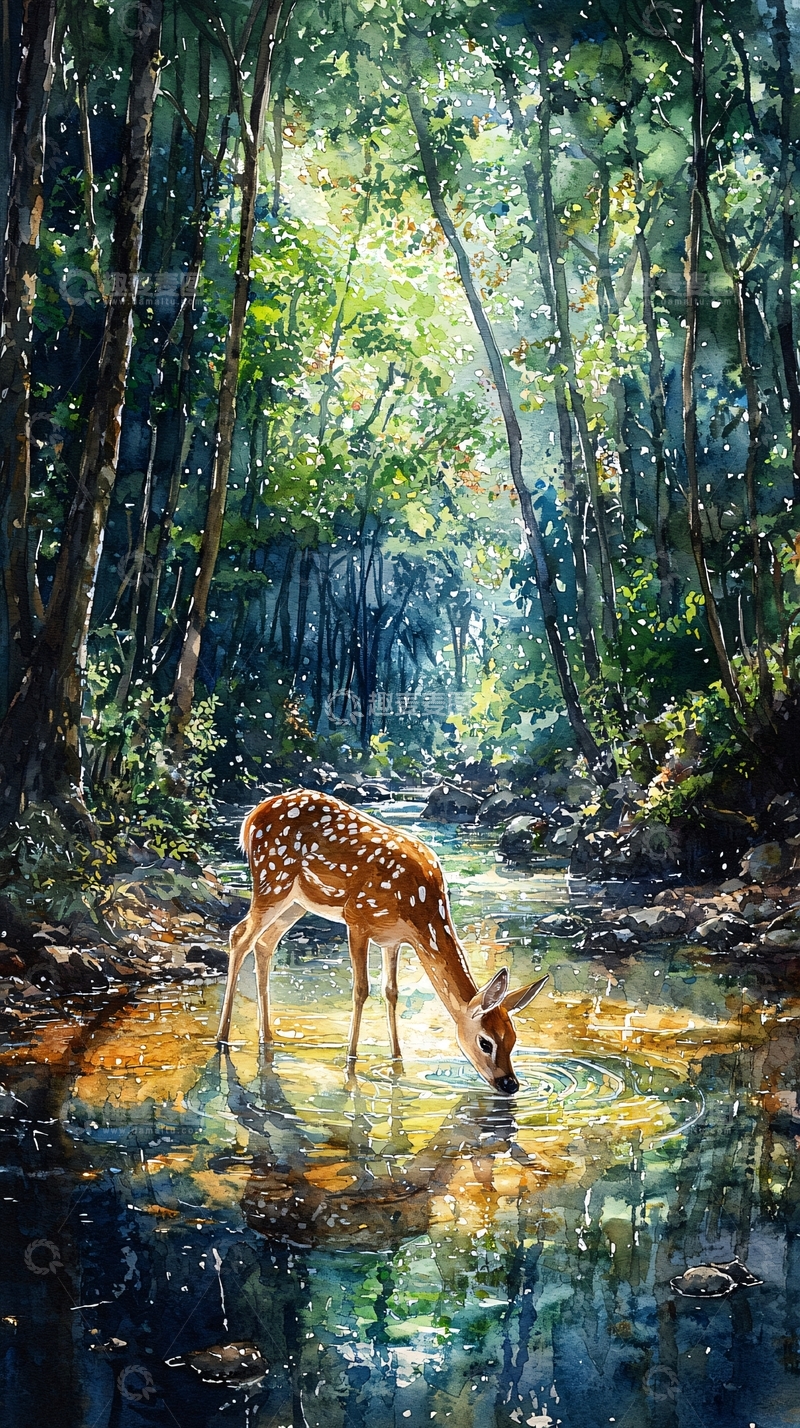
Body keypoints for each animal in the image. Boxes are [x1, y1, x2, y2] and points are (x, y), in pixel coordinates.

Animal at [216, 789, 547, 1094]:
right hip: (273, 880)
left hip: (297, 901)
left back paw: (267, 1036)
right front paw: (350, 1060)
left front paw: (397, 1059)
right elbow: (362, 989)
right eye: (485, 1042)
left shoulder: (393, 940)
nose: (510, 1084)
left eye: (513, 1038)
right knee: (239, 935)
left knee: (265, 943)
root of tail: (251, 818)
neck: (419, 908)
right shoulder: (357, 918)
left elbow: (391, 992)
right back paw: (223, 1037)